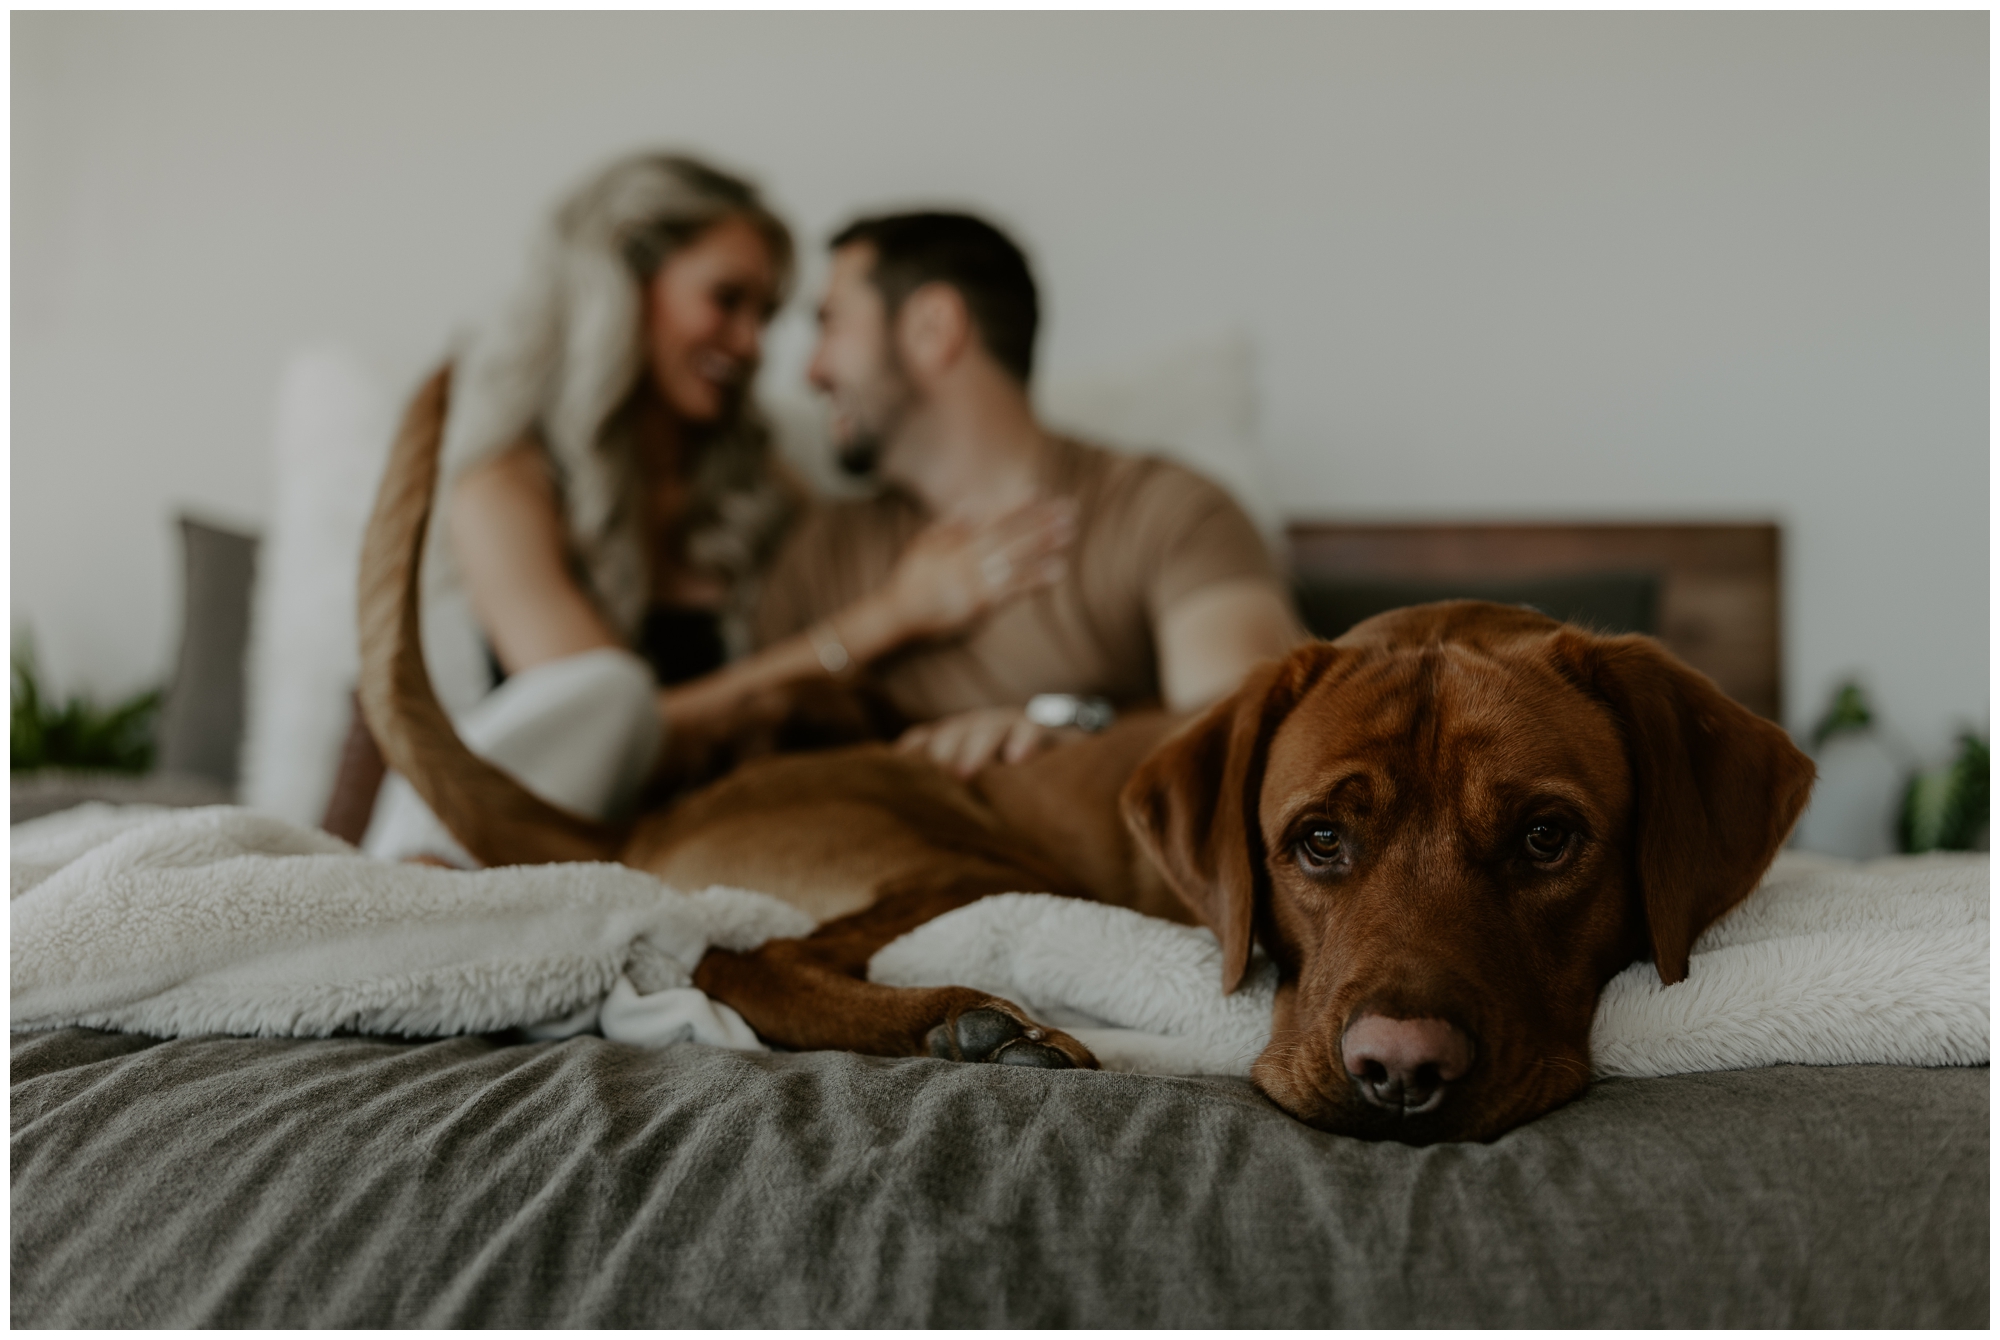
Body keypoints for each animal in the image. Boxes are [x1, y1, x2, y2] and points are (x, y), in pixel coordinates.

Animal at [360, 370, 1816, 1144]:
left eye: (1548, 838)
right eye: (1316, 841)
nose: (1398, 1074)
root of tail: (654, 810)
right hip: (958, 854)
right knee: (739, 958)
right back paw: (960, 1024)